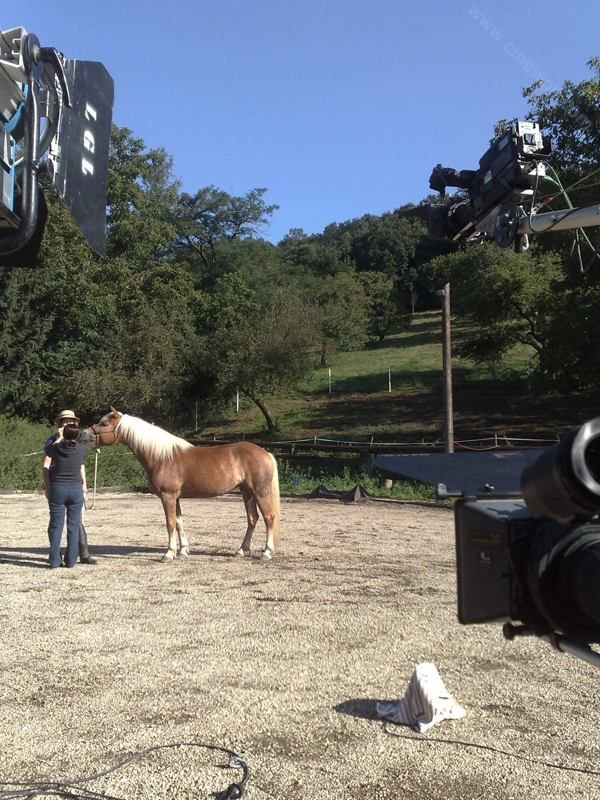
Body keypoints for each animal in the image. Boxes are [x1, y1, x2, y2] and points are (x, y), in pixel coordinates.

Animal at [83, 408, 280, 562]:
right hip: (246, 493)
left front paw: (168, 554)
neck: (162, 457)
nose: (84, 434)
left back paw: (266, 553)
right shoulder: (175, 498)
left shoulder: (167, 496)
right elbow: (179, 522)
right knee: (252, 519)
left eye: (104, 424)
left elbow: (170, 523)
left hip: (259, 493)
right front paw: (183, 551)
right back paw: (241, 551)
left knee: (268, 517)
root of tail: (265, 453)